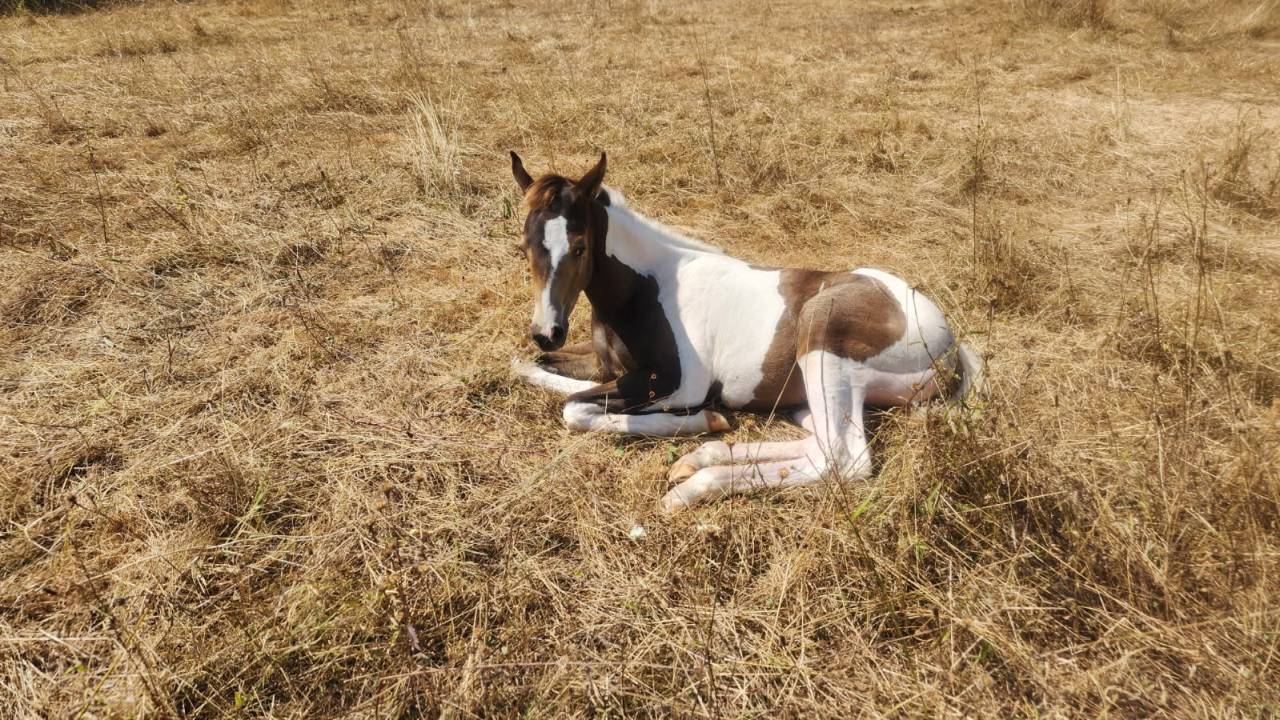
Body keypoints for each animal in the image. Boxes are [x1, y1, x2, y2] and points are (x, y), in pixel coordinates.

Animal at [508, 151, 984, 512]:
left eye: (580, 246)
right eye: (524, 246)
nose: (547, 331)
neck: (643, 290)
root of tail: (952, 343)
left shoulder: (680, 384)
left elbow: (575, 409)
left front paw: (706, 418)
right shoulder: (603, 364)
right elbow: (538, 369)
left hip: (821, 337)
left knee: (843, 459)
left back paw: (693, 487)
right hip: (811, 398)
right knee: (817, 441)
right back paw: (700, 460)